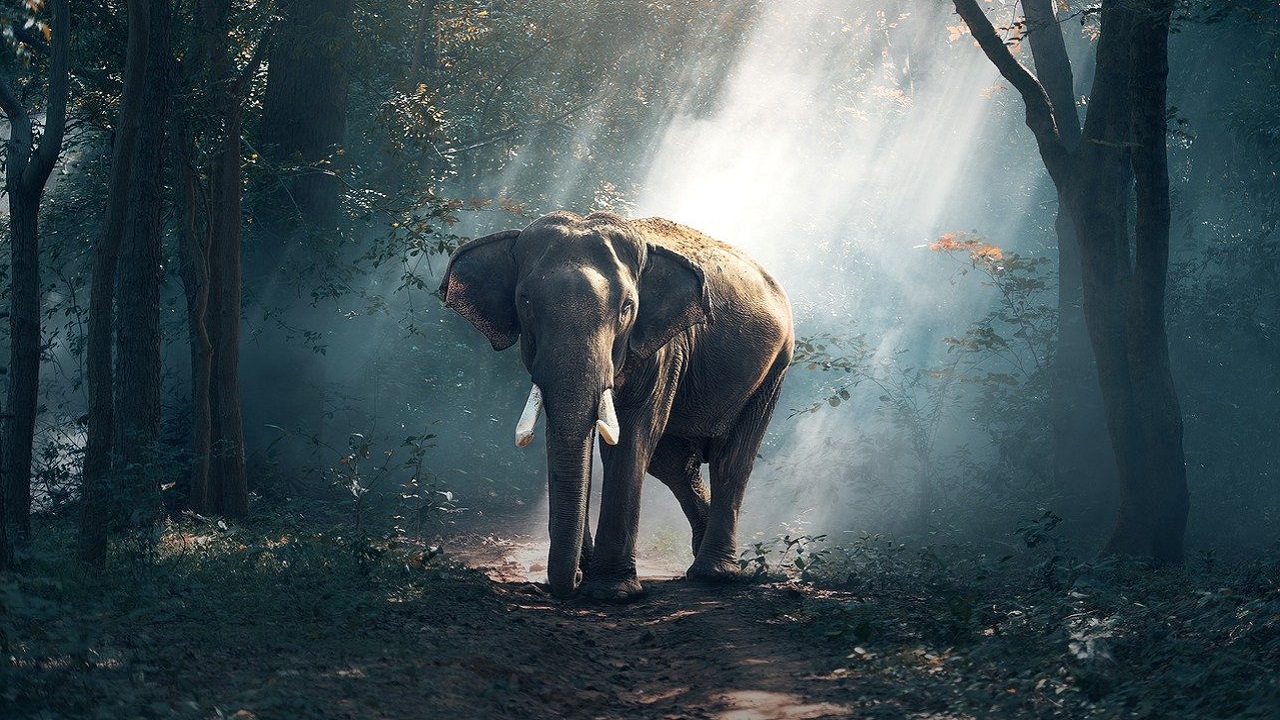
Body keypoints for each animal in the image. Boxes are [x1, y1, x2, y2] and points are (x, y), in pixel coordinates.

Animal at [439, 211, 793, 600]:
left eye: (627, 307)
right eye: (525, 302)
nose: (572, 581)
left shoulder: (664, 348)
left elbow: (631, 437)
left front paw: (611, 592)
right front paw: (588, 574)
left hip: (774, 367)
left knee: (732, 457)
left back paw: (714, 574)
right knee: (673, 463)